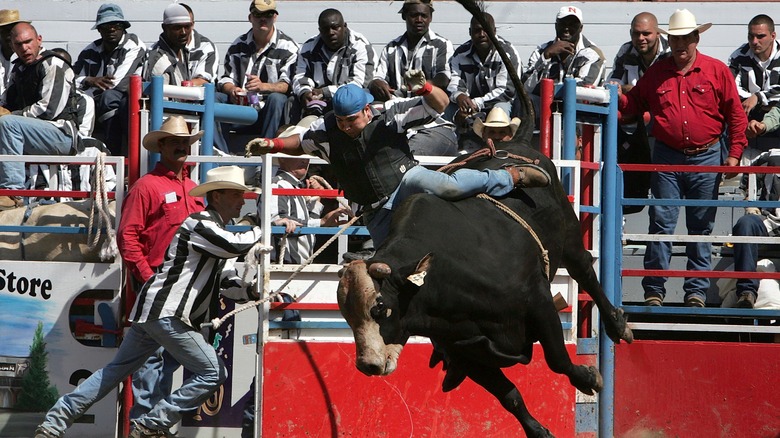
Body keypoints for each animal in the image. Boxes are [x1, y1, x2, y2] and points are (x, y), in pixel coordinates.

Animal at [336, 145, 632, 436]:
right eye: (348, 318)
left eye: (379, 307)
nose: (367, 365)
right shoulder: (465, 351)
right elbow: (509, 396)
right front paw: (540, 431)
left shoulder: (538, 302)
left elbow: (557, 359)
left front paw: (589, 378)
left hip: (570, 235)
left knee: (585, 272)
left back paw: (618, 325)